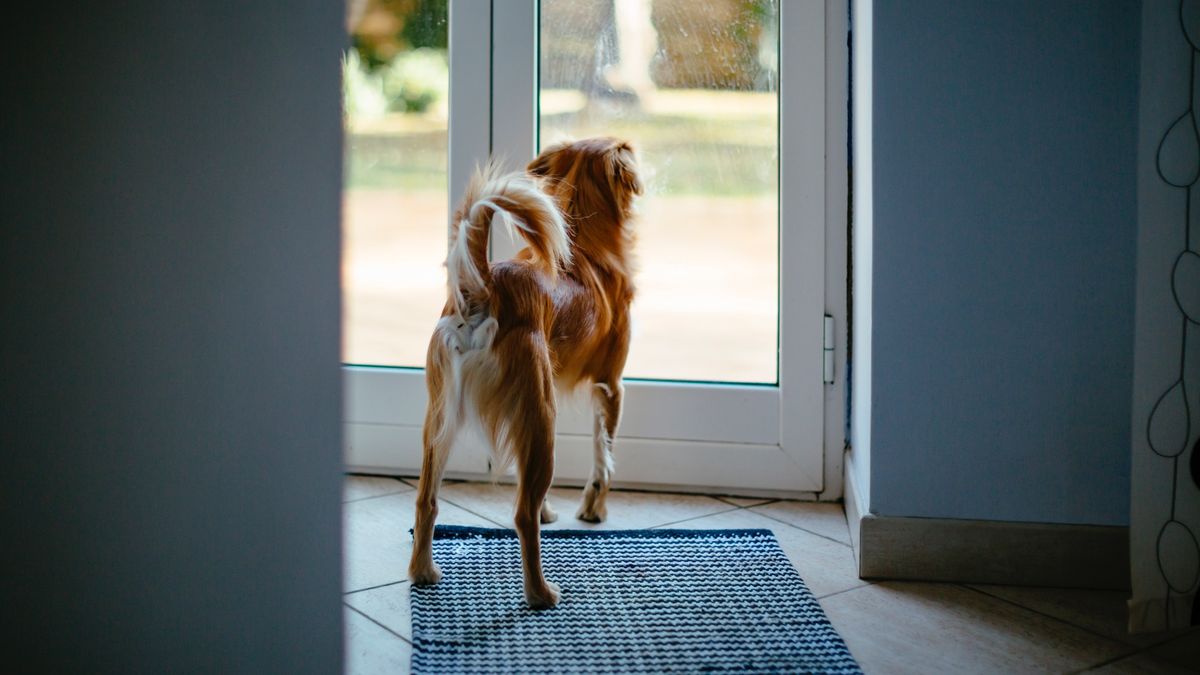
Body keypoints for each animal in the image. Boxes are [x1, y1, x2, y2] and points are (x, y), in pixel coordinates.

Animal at [408, 135, 643, 605]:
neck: (585, 245)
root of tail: (482, 289)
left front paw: (552, 509)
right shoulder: (610, 386)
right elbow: (602, 460)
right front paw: (594, 511)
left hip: (443, 420)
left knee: (427, 500)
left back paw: (423, 571)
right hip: (541, 419)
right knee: (521, 515)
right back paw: (540, 593)